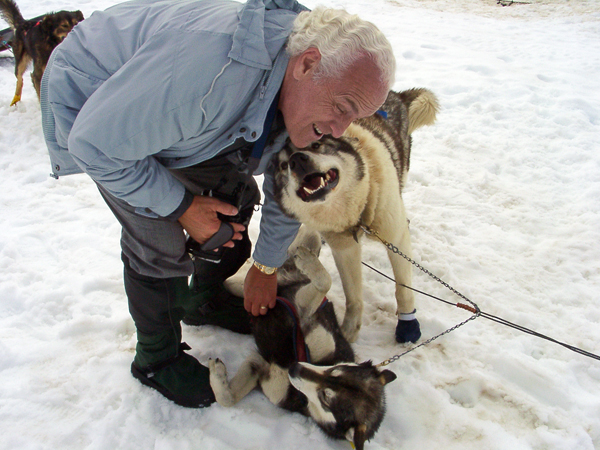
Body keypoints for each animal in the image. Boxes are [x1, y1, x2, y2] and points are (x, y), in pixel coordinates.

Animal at [209, 229, 396, 450]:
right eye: (336, 370)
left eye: (326, 398)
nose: (295, 367)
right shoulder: (303, 311)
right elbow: (324, 281)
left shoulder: (261, 366)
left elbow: (228, 399)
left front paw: (217, 374)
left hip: (244, 287)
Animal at [270, 89, 436, 344]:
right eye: (283, 165)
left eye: (316, 145)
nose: (298, 160)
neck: (355, 212)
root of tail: (396, 95)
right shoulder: (344, 247)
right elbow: (353, 295)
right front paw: (350, 327)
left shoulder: (395, 238)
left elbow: (403, 289)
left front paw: (408, 323)